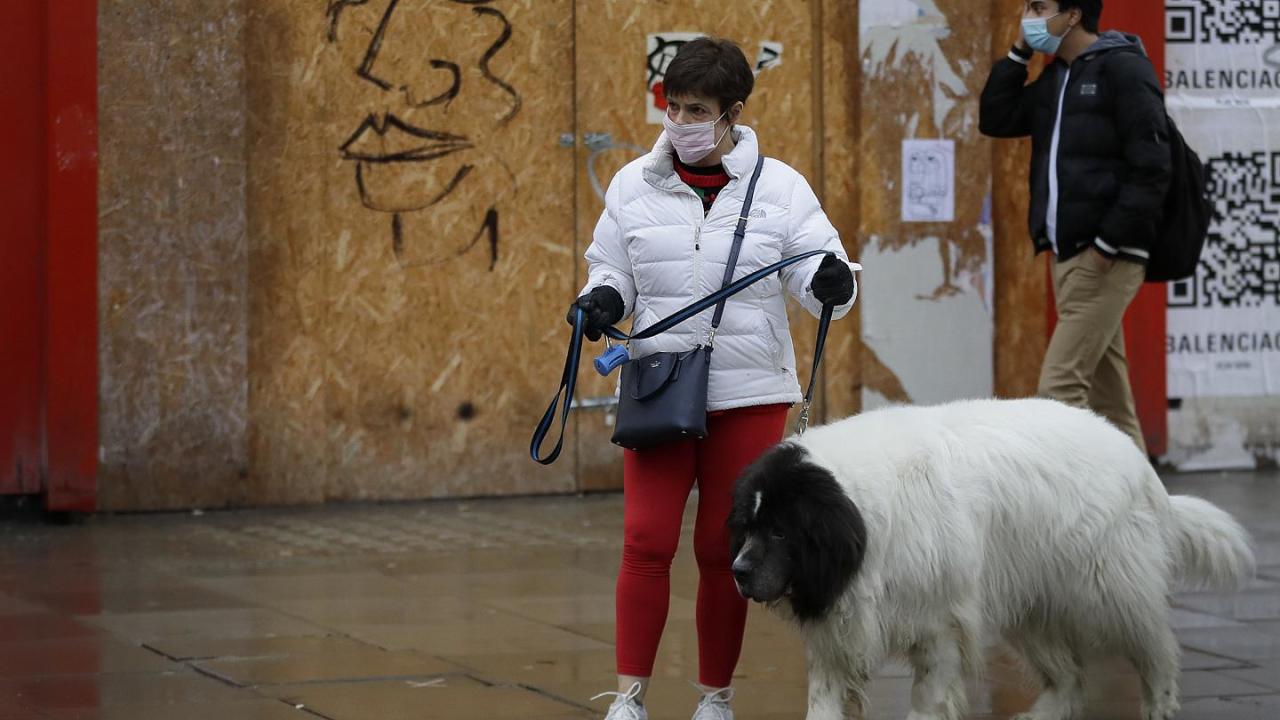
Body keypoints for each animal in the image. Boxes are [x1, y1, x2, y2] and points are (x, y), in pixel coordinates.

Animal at [727, 394, 1254, 717]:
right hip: (1033, 597)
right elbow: (823, 702)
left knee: (1156, 650)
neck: (862, 512)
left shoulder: (939, 628)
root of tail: (1140, 464)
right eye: (748, 528)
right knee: (1070, 677)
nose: (738, 571)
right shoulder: (839, 638)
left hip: (1110, 590)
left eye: (780, 531)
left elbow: (927, 700)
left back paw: (1159, 703)